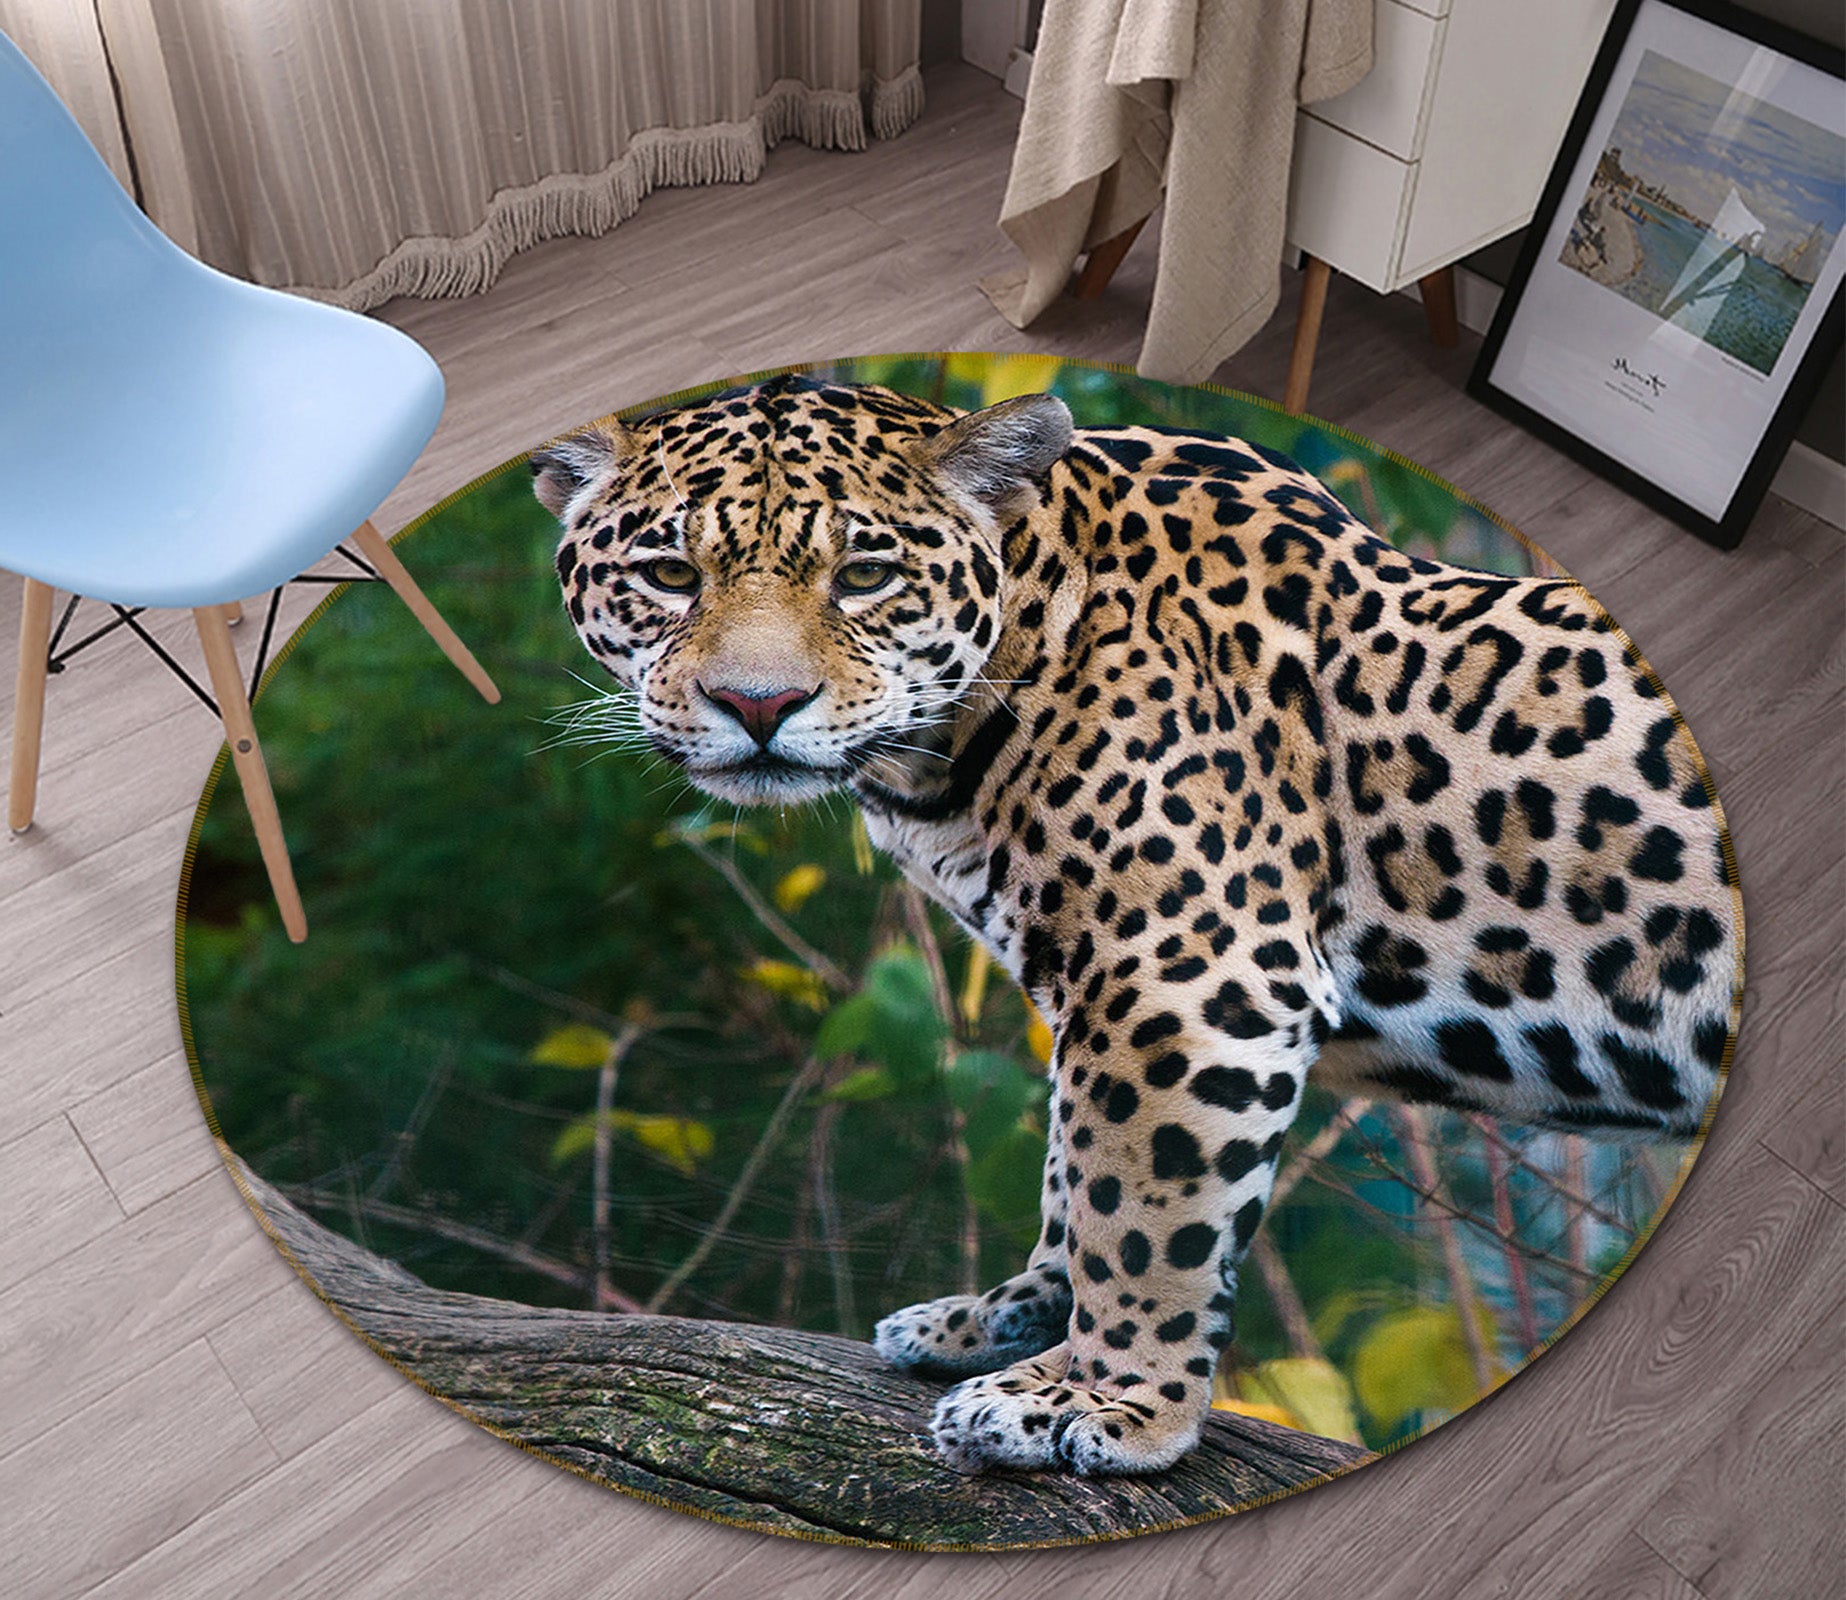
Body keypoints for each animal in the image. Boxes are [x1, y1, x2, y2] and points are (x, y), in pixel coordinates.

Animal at [533, 374, 1741, 1478]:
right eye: (670, 575)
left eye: (864, 576)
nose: (757, 706)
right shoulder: (1090, 982)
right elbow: (1072, 1174)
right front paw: (1003, 1324)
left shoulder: (1186, 975)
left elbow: (1140, 1203)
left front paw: (1104, 1402)